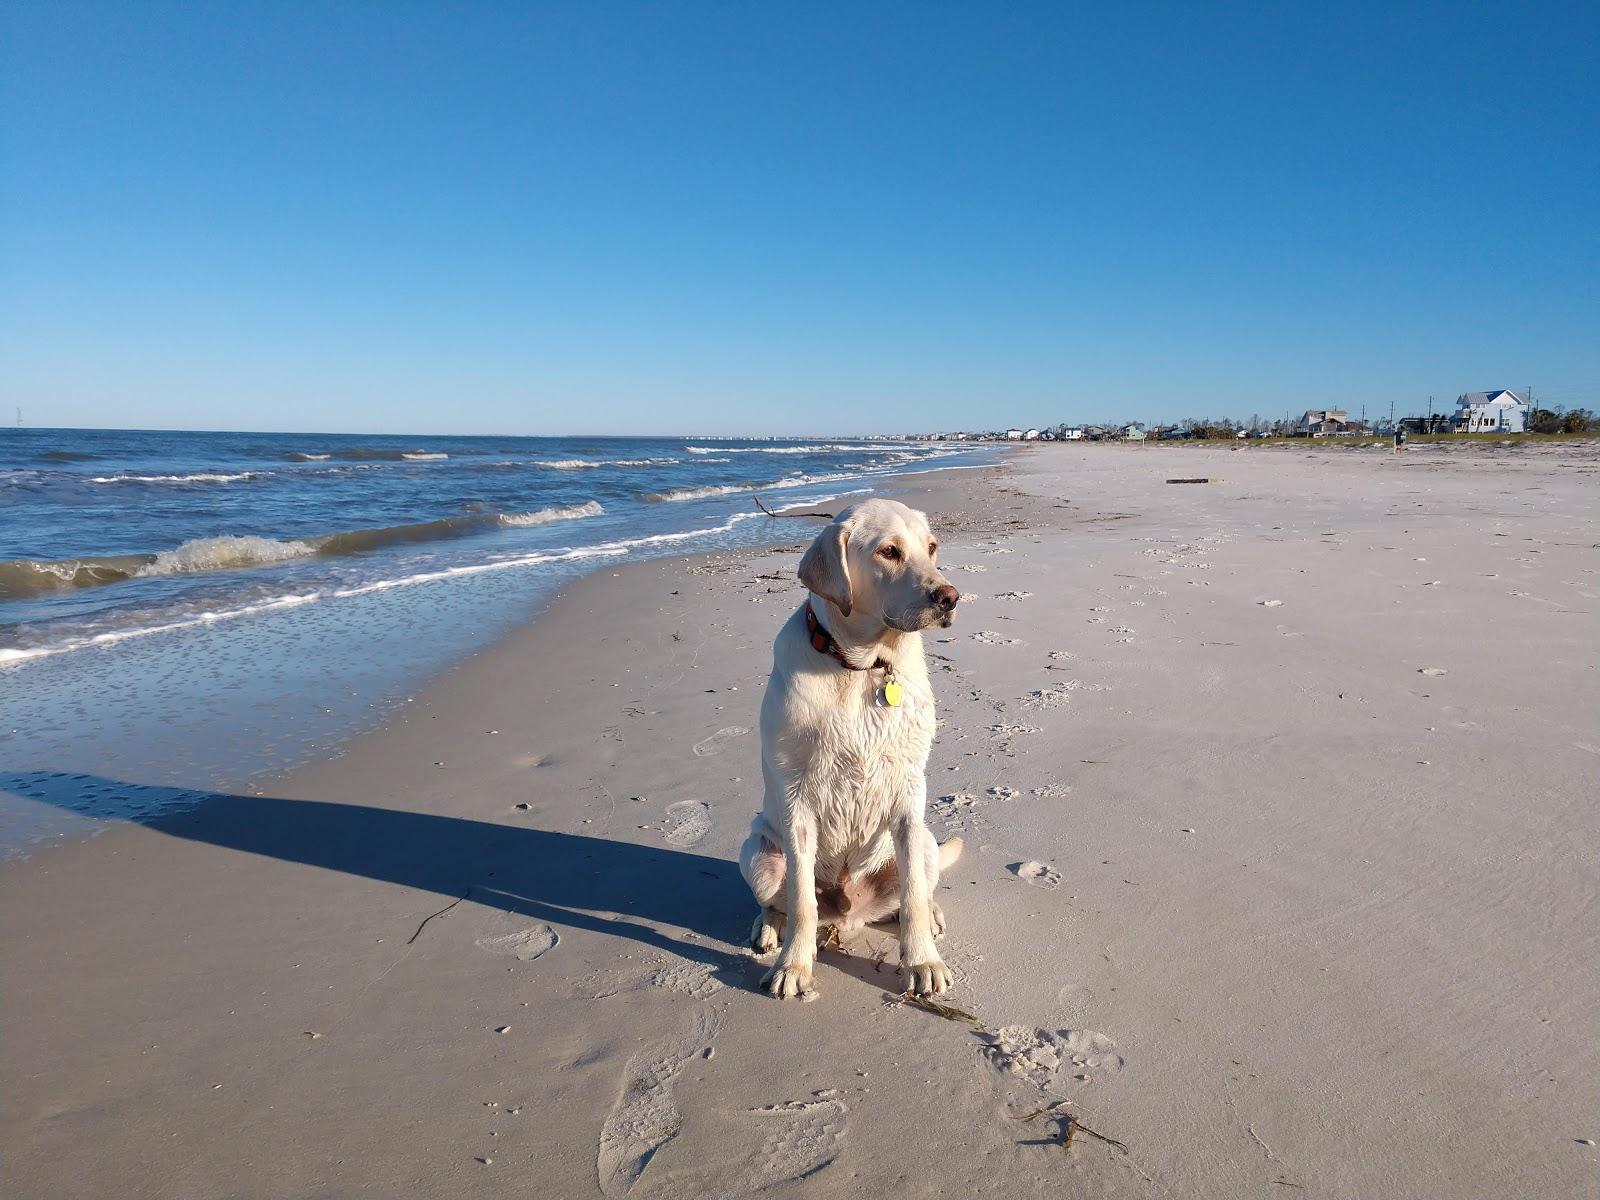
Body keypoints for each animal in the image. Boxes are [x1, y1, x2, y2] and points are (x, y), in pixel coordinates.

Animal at [739, 502, 960, 998]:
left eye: (932, 546)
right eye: (888, 551)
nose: (950, 597)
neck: (861, 668)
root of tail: (850, 913)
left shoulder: (908, 791)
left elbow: (913, 897)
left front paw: (922, 962)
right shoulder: (797, 799)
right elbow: (802, 901)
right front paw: (793, 967)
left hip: (925, 841)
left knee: (917, 892)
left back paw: (933, 917)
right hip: (757, 853)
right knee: (779, 903)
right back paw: (768, 930)